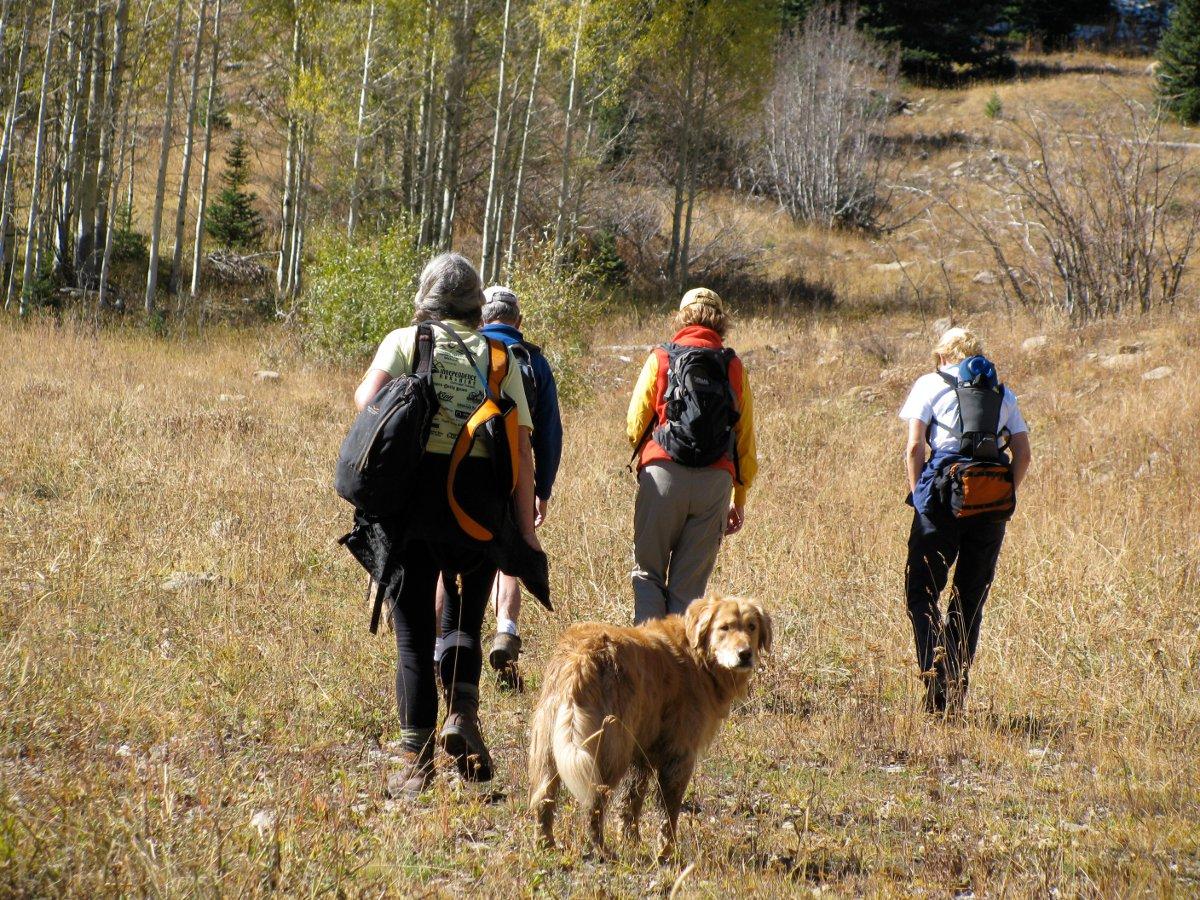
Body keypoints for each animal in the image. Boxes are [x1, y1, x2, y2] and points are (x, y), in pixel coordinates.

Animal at [530, 595, 772, 854]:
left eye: (751, 626)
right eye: (724, 627)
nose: (745, 654)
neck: (696, 656)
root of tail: (582, 655)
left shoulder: (641, 754)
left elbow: (631, 802)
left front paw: (632, 841)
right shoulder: (679, 755)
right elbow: (669, 811)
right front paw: (667, 851)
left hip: (550, 746)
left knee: (544, 797)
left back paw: (546, 844)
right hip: (609, 752)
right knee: (594, 804)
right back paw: (601, 849)